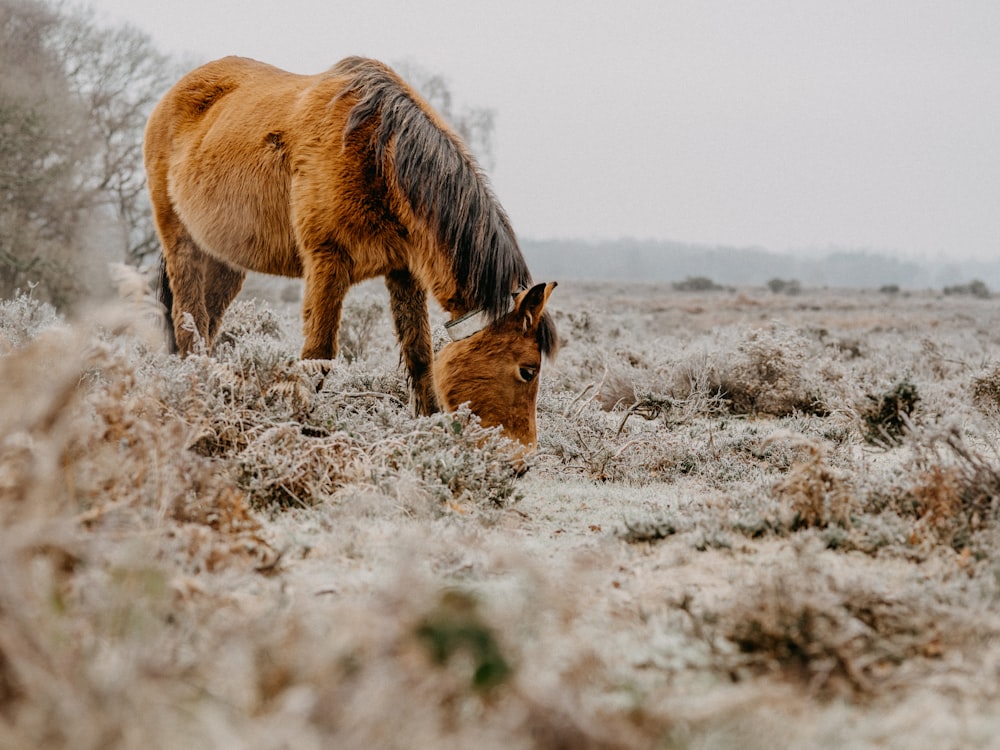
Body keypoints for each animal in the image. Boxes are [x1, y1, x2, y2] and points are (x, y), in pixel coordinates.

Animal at [146, 57, 560, 452]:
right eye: (528, 370)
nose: (522, 459)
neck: (377, 153)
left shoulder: (403, 270)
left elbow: (420, 355)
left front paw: (429, 430)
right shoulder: (327, 262)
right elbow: (319, 355)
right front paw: (297, 429)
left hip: (224, 259)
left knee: (208, 322)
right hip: (181, 242)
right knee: (189, 321)